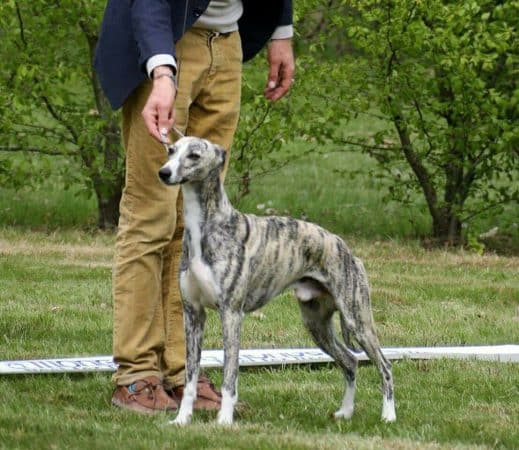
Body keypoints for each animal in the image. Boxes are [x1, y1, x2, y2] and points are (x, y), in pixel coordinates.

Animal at [158, 136, 398, 426]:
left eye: (193, 155)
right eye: (171, 150)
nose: (163, 172)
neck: (208, 227)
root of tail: (346, 249)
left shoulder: (231, 314)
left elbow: (230, 376)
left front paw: (224, 421)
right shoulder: (193, 313)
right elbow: (190, 377)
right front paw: (182, 419)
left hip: (357, 319)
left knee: (384, 365)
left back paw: (388, 415)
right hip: (316, 324)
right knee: (350, 362)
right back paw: (346, 412)